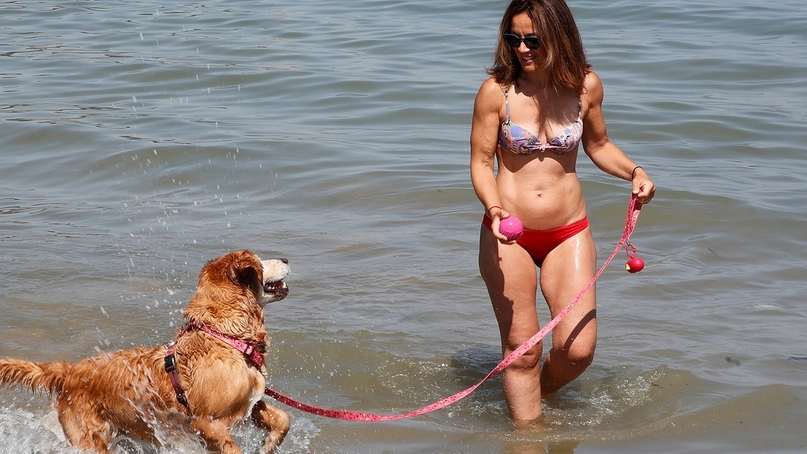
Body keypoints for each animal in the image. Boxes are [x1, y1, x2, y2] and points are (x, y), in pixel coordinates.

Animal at [0, 250, 290, 452]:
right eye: (260, 260)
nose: (286, 258)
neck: (225, 337)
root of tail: (68, 371)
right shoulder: (208, 424)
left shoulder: (251, 405)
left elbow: (284, 418)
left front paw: (267, 446)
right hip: (92, 439)